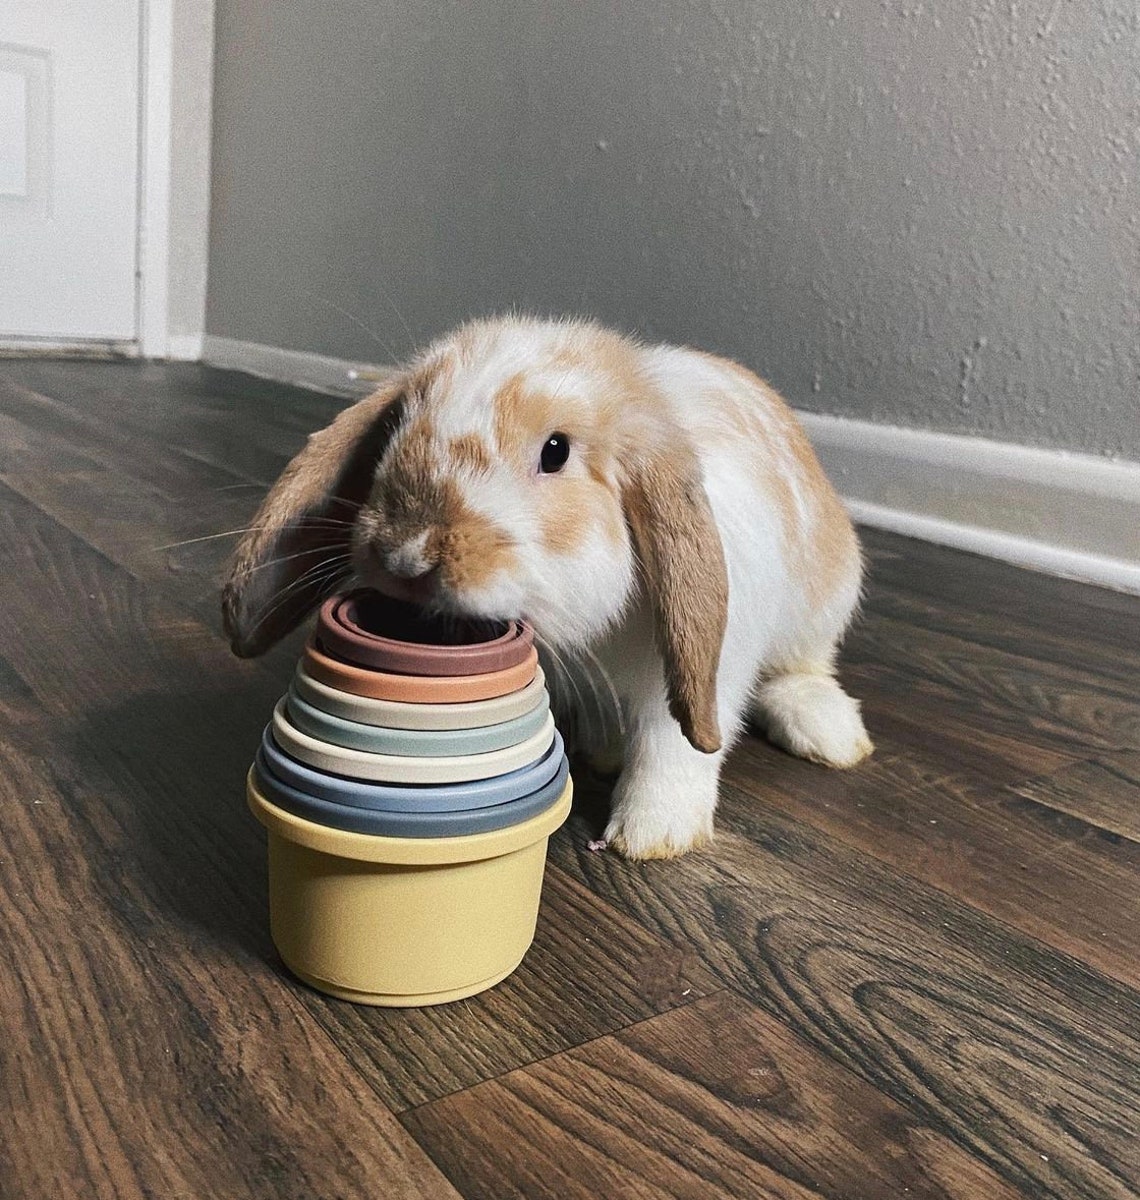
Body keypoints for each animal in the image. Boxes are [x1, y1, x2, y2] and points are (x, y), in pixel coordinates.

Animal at [222, 315, 872, 859]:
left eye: (555, 451)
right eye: (397, 429)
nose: (404, 557)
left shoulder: (713, 662)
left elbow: (674, 741)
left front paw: (651, 836)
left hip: (822, 608)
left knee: (803, 668)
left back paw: (829, 735)